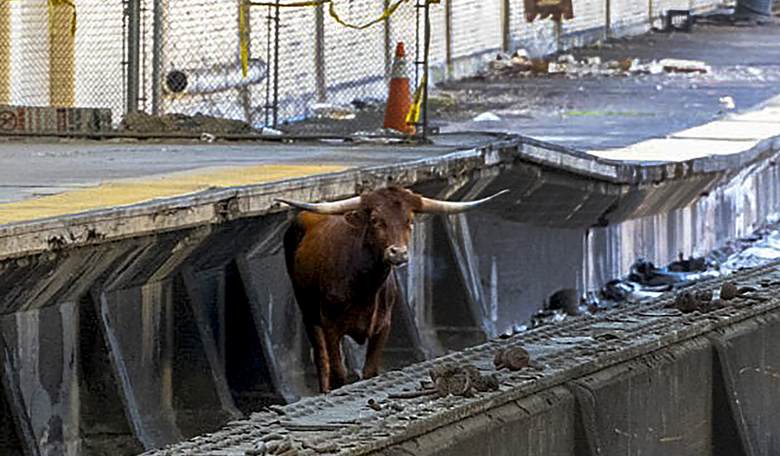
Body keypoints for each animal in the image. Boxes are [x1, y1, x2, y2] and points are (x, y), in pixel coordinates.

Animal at [278, 186, 507, 392]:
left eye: (409, 221)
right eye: (376, 220)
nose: (398, 253)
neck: (364, 288)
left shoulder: (383, 326)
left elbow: (370, 371)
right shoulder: (331, 325)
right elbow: (338, 373)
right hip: (308, 313)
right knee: (321, 359)